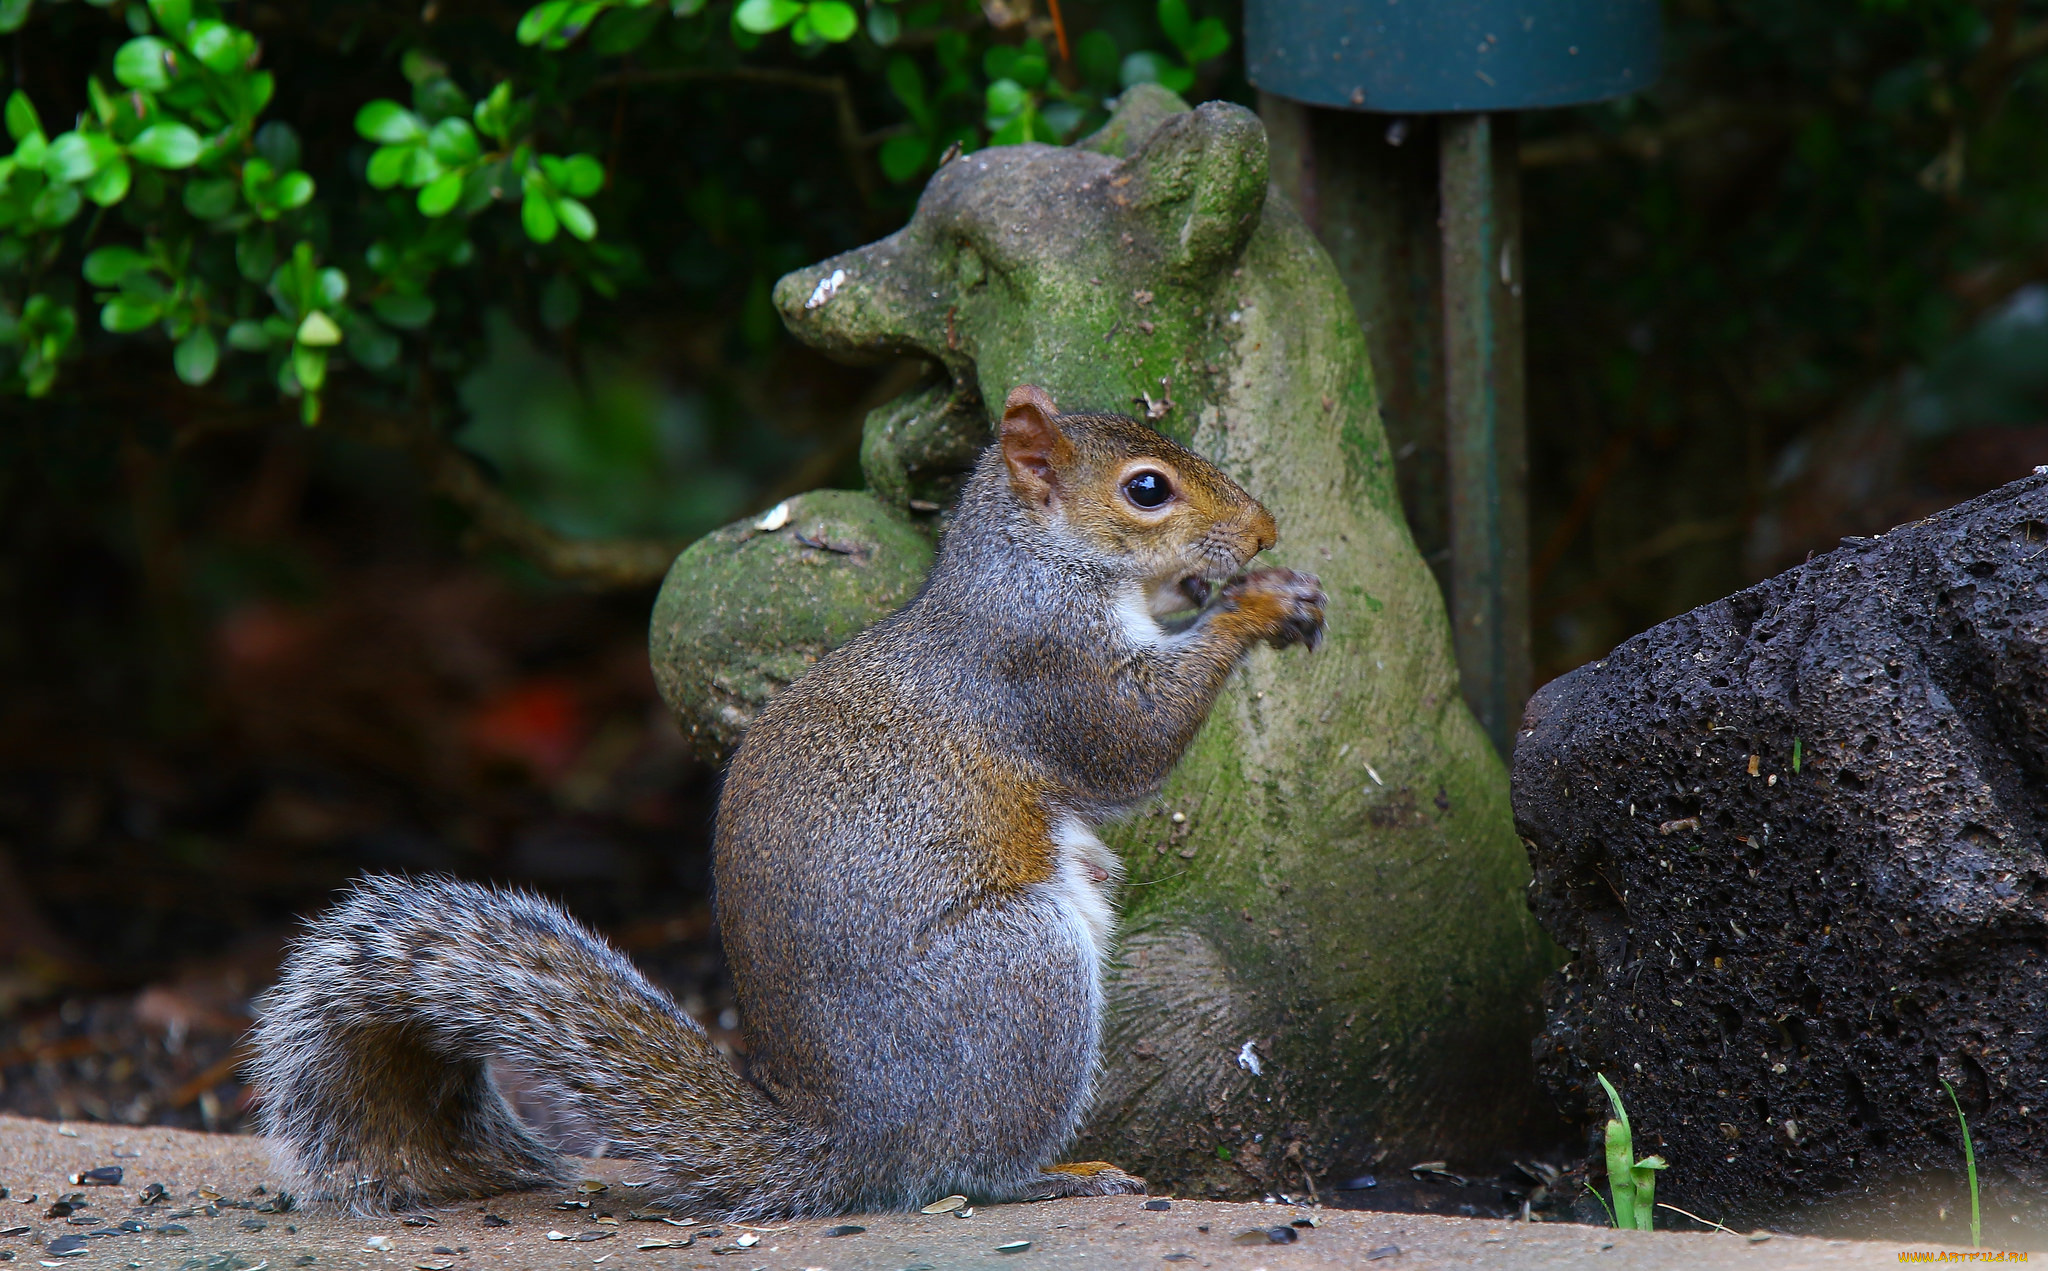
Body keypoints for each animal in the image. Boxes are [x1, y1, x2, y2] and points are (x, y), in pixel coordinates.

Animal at [247, 380, 1327, 1211]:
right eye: (1146, 489)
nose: (1265, 526)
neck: (1040, 564)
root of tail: (856, 1142)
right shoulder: (1041, 669)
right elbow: (1131, 747)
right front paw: (1256, 603)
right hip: (1020, 974)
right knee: (973, 1166)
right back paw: (1059, 1172)